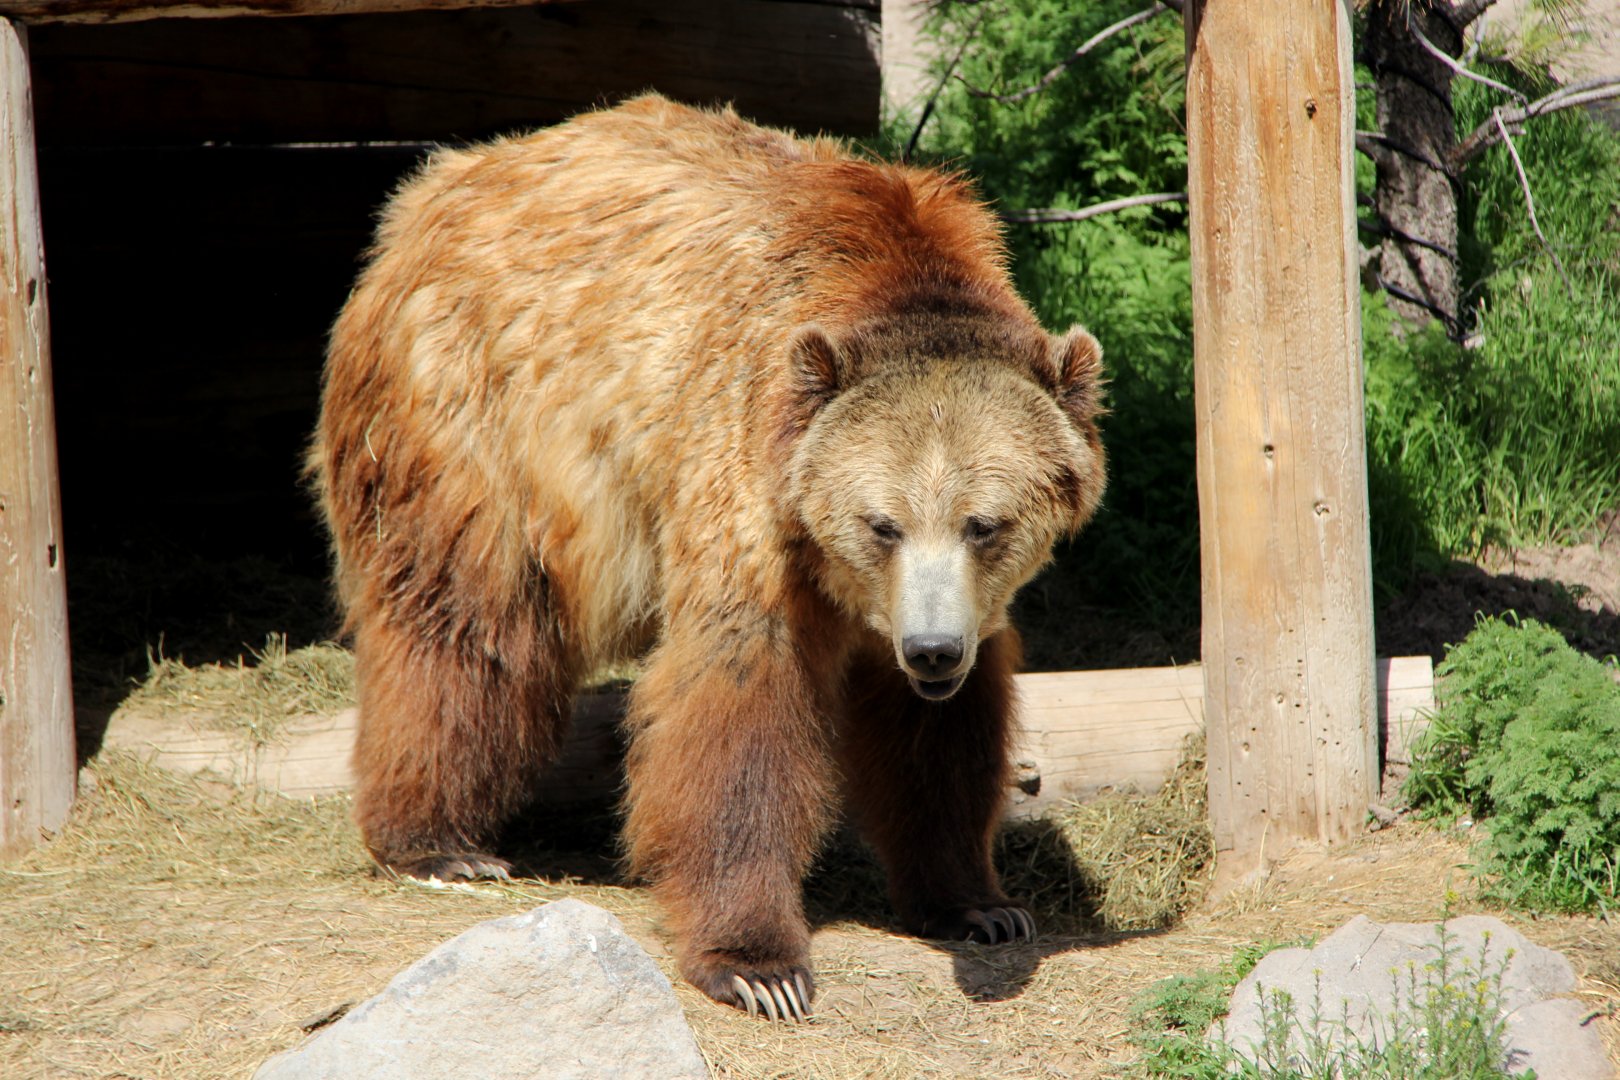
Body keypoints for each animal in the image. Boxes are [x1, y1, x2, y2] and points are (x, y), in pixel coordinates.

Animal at [310, 94, 1106, 1021]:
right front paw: (760, 964)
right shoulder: (747, 471)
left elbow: (938, 737)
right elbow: (740, 701)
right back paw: (438, 843)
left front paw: (979, 903)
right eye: (882, 523)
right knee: (462, 621)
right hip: (465, 414)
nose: (932, 650)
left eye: (985, 524)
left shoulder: (950, 604)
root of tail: (434, 186)